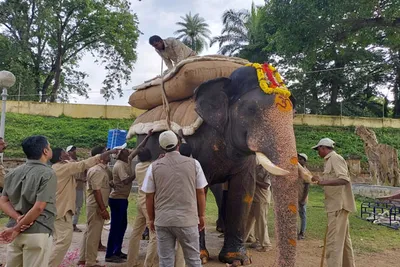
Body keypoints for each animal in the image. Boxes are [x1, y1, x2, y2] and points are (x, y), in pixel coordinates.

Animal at [136, 65, 298, 267]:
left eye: (293, 114)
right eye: (251, 109)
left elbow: (243, 190)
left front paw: (238, 259)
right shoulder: (197, 146)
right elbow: (198, 191)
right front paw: (201, 257)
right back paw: (148, 235)